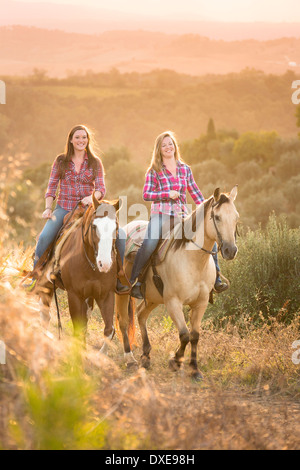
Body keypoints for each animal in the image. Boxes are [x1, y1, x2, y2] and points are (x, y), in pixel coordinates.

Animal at [34, 193, 120, 350]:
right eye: (94, 226)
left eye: (115, 227)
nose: (105, 264)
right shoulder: (74, 295)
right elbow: (78, 330)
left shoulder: (106, 295)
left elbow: (109, 331)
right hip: (46, 285)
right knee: (45, 314)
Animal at [115, 185, 239, 380]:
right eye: (217, 217)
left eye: (236, 217)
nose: (230, 250)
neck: (193, 260)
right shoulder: (173, 302)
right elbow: (184, 335)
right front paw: (175, 361)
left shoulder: (201, 303)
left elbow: (194, 335)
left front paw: (194, 369)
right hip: (123, 293)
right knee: (123, 322)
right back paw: (131, 360)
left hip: (153, 297)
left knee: (141, 314)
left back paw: (146, 356)